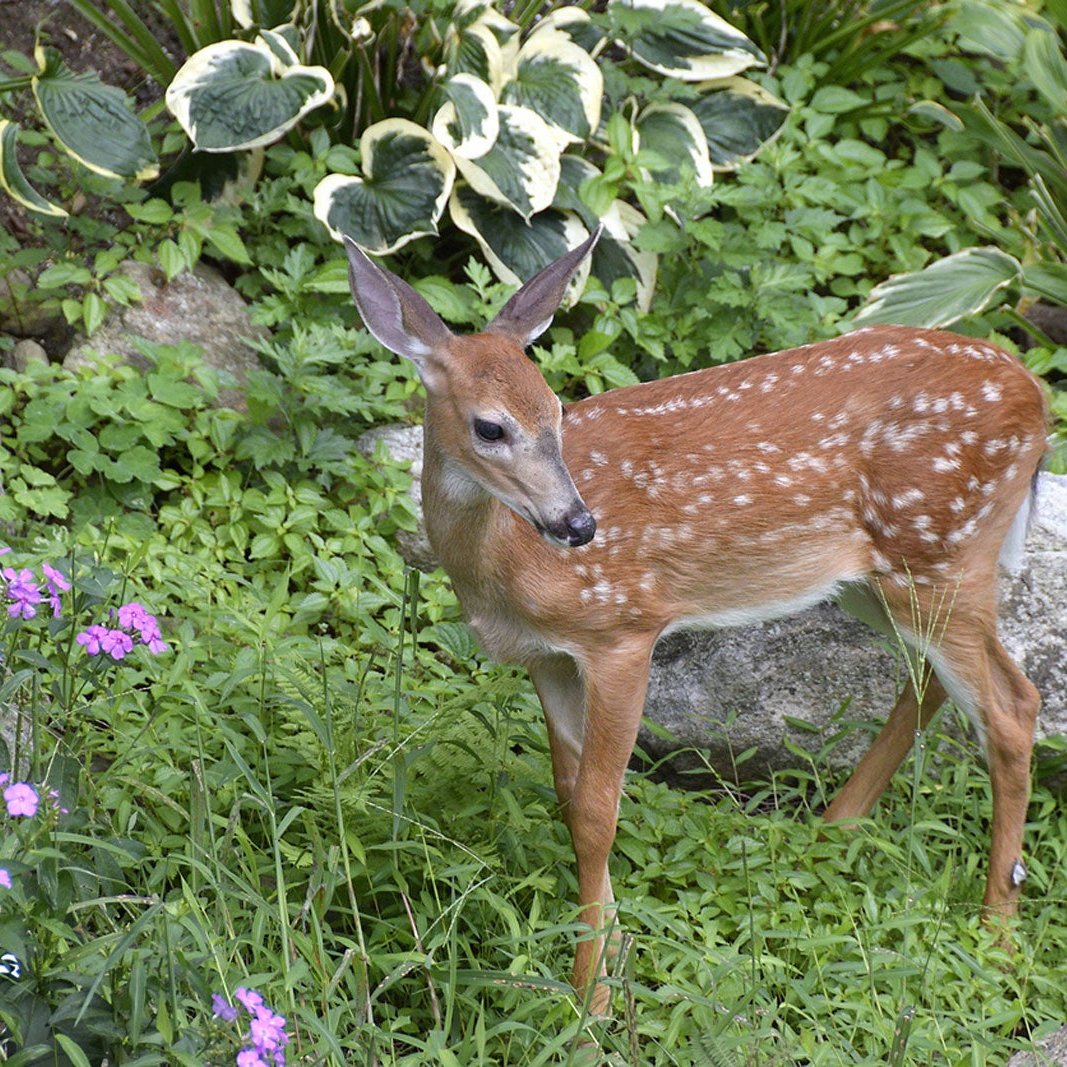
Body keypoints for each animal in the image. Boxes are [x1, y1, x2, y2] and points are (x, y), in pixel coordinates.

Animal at [343, 228, 1048, 1014]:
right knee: (936, 682)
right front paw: (615, 952)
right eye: (489, 426)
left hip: (940, 548)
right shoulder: (547, 657)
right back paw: (831, 830)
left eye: (557, 410)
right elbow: (569, 795)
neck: (506, 569)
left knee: (1012, 705)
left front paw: (590, 1002)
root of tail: (1036, 396)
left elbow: (598, 812)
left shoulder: (622, 628)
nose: (578, 524)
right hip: (880, 576)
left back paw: (996, 933)